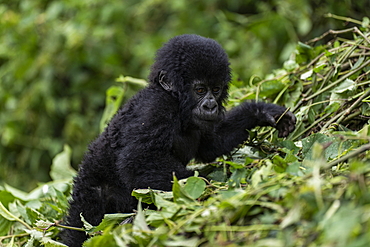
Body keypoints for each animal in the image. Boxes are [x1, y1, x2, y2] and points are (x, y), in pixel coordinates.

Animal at [62, 33, 296, 246]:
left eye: (216, 89)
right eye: (200, 90)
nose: (211, 106)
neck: (176, 102)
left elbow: (213, 145)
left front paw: (263, 112)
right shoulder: (156, 108)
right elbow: (138, 162)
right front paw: (209, 183)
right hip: (90, 203)